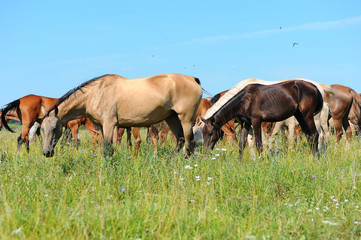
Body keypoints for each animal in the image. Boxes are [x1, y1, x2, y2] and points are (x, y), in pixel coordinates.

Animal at [41, 72, 202, 158]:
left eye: (54, 128)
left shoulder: (109, 124)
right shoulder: (101, 126)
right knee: (180, 140)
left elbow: (107, 148)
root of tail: (193, 79)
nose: (46, 152)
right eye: (42, 129)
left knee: (189, 143)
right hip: (172, 118)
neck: (95, 93)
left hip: (186, 119)